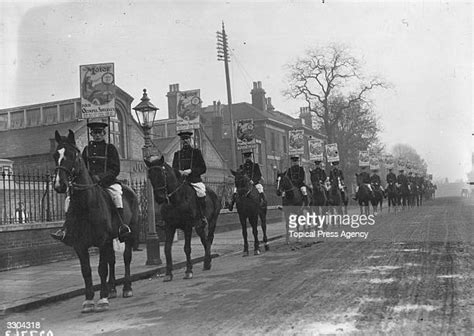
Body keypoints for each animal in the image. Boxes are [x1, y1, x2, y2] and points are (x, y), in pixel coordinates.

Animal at [53, 131, 140, 312]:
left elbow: (101, 269)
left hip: (128, 234)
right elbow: (86, 271)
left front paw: (102, 299)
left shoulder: (102, 241)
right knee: (112, 260)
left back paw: (126, 288)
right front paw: (88, 300)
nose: (59, 185)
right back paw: (112, 289)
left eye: (72, 155)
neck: (85, 205)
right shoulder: (80, 245)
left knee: (126, 258)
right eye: (55, 155)